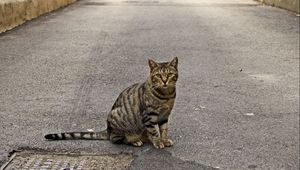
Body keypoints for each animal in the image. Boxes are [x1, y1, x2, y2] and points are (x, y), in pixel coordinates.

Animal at [45, 56, 178, 148]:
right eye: (158, 75)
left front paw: (164, 140)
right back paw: (134, 140)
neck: (167, 95)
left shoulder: (164, 116)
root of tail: (108, 129)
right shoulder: (149, 116)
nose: (164, 81)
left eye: (170, 74)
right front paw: (158, 142)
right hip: (118, 118)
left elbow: (164, 130)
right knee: (116, 139)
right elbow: (154, 132)